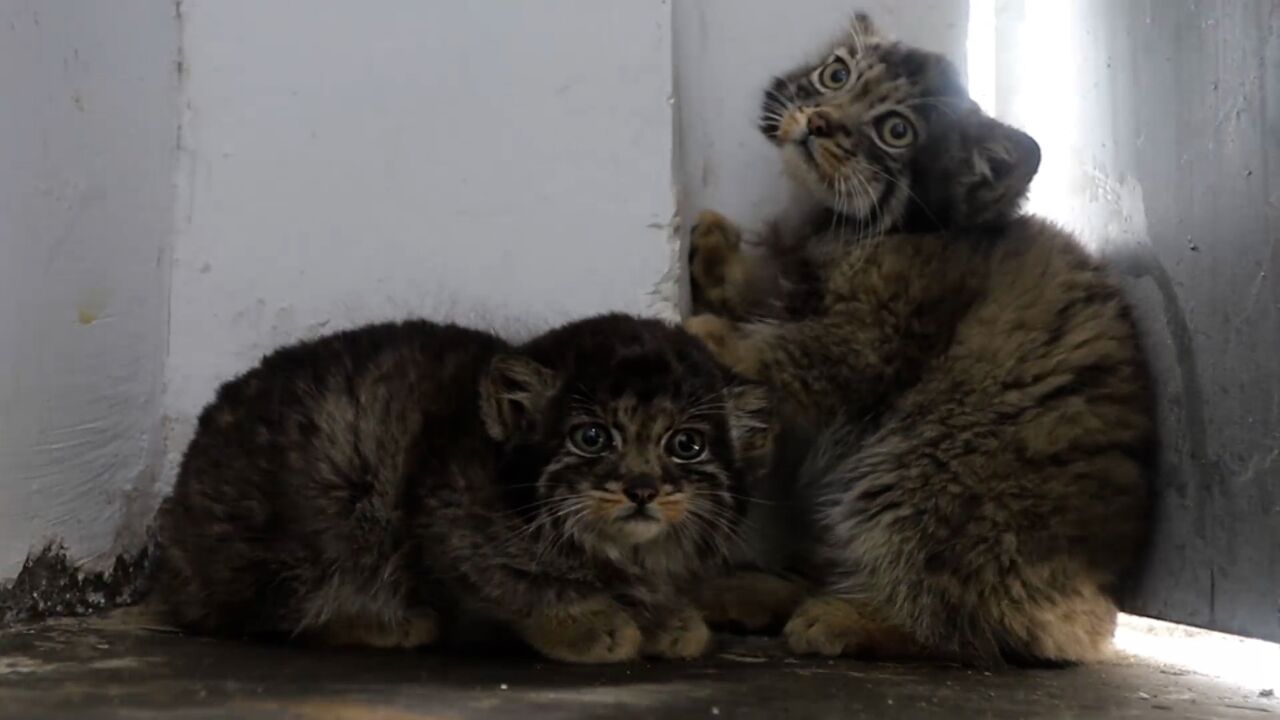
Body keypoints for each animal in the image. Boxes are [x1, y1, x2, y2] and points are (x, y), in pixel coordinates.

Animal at [686, 12, 1157, 661]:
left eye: (895, 130)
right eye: (836, 75)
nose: (819, 121)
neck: (862, 230)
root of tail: (1096, 604)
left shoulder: (873, 338)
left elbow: (797, 352)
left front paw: (715, 333)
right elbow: (766, 297)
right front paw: (715, 257)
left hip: (930, 470)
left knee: (954, 614)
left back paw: (850, 618)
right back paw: (753, 592)